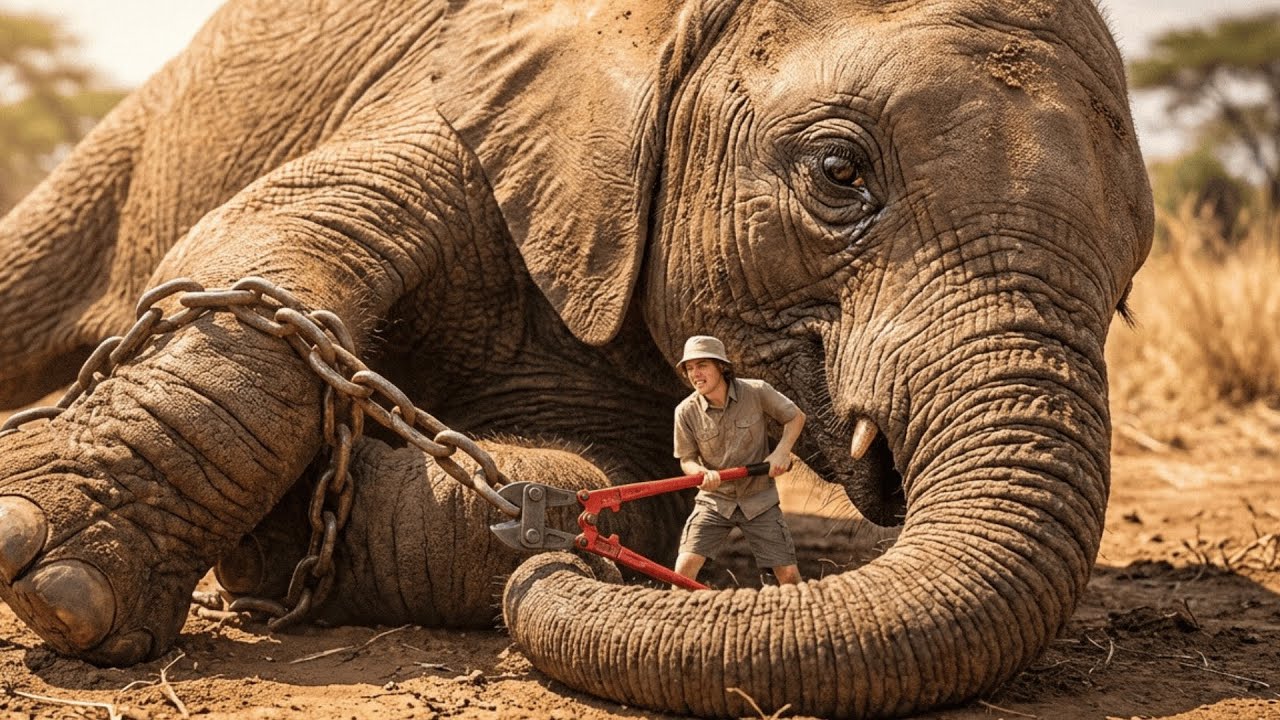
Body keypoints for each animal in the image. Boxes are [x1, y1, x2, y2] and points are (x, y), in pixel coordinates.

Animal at [0, 0, 1153, 717]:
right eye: (838, 171)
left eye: (1129, 274)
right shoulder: (474, 89)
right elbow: (261, 254)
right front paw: (61, 582)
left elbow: (600, 477)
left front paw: (292, 538)